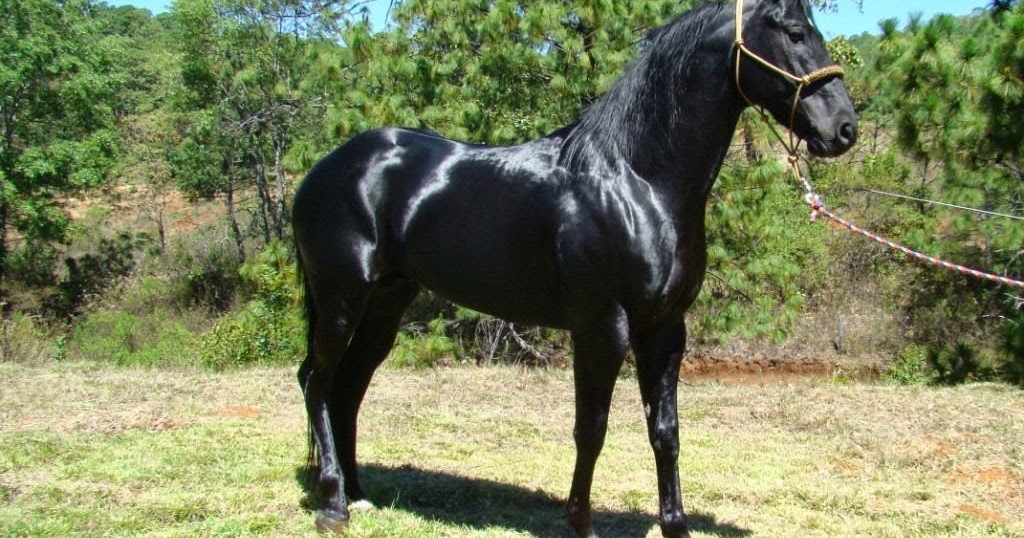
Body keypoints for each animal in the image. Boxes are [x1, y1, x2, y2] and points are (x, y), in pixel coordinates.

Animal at [293, 0, 856, 536]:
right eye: (794, 32)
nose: (844, 128)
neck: (636, 180)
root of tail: (325, 168)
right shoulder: (601, 327)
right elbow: (592, 429)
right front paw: (581, 522)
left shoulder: (665, 329)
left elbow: (665, 430)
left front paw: (675, 525)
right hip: (341, 299)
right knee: (317, 381)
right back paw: (333, 505)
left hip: (387, 301)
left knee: (348, 387)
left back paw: (358, 493)